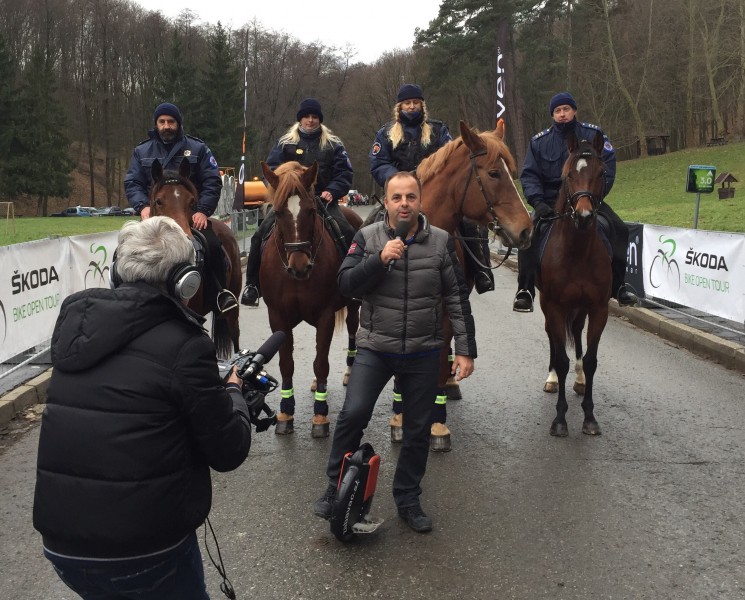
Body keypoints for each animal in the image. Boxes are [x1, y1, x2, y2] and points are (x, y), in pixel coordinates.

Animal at [258, 162, 364, 438]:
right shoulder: (278, 318)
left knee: (351, 330)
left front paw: (320, 414)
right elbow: (286, 364)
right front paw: (286, 412)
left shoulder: (325, 316)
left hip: (353, 306)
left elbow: (321, 363)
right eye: (278, 212)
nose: (300, 266)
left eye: (311, 210)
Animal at [402, 119, 536, 450]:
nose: (526, 230)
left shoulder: (447, 313)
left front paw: (436, 424)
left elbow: (438, 361)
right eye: (494, 173)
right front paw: (399, 418)